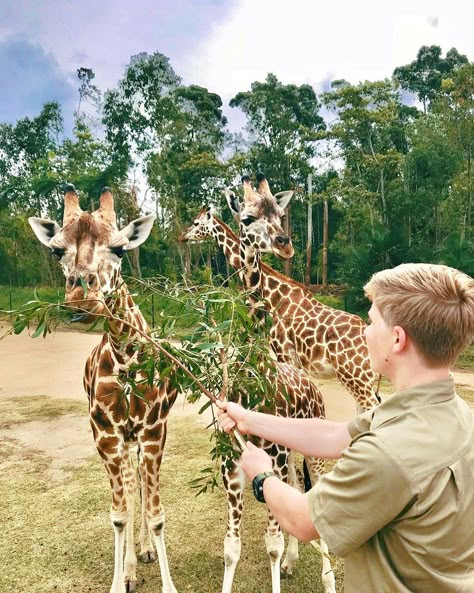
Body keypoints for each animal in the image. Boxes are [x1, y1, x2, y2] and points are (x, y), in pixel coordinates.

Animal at [28, 185, 179, 592]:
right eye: (57, 250)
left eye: (120, 248)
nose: (81, 298)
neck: (126, 358)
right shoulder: (105, 434)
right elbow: (118, 513)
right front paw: (120, 578)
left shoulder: (154, 431)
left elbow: (156, 514)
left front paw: (166, 581)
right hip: (124, 439)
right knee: (129, 485)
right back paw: (132, 562)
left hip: (140, 437)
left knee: (138, 485)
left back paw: (143, 552)